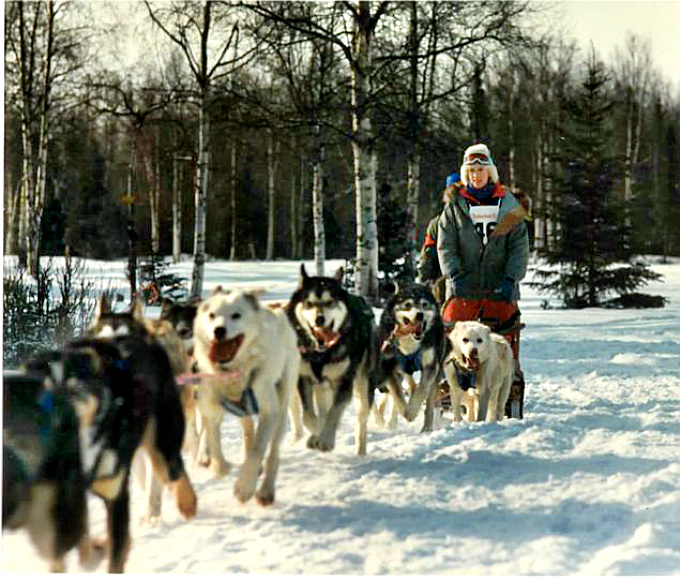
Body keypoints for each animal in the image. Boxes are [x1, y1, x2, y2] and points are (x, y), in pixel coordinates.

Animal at [190, 288, 298, 506]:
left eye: (236, 315)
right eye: (212, 315)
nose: (219, 330)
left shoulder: (269, 412)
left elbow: (258, 449)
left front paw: (244, 487)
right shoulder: (211, 407)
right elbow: (214, 439)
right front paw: (220, 466)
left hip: (282, 405)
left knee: (273, 451)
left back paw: (266, 490)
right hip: (243, 411)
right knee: (248, 430)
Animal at [286, 266, 380, 456]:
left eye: (330, 303)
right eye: (309, 303)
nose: (319, 319)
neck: (321, 353)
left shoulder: (343, 383)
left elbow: (334, 412)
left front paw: (326, 440)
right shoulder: (304, 379)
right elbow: (308, 417)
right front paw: (316, 436)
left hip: (363, 385)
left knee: (361, 420)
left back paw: (360, 451)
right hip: (321, 387)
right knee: (323, 411)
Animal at [378, 284, 446, 432]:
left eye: (424, 304)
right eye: (407, 305)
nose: (420, 314)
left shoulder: (430, 367)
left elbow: (421, 391)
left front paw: (412, 411)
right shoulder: (392, 369)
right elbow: (397, 395)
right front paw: (406, 411)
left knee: (429, 400)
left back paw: (427, 427)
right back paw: (392, 423)